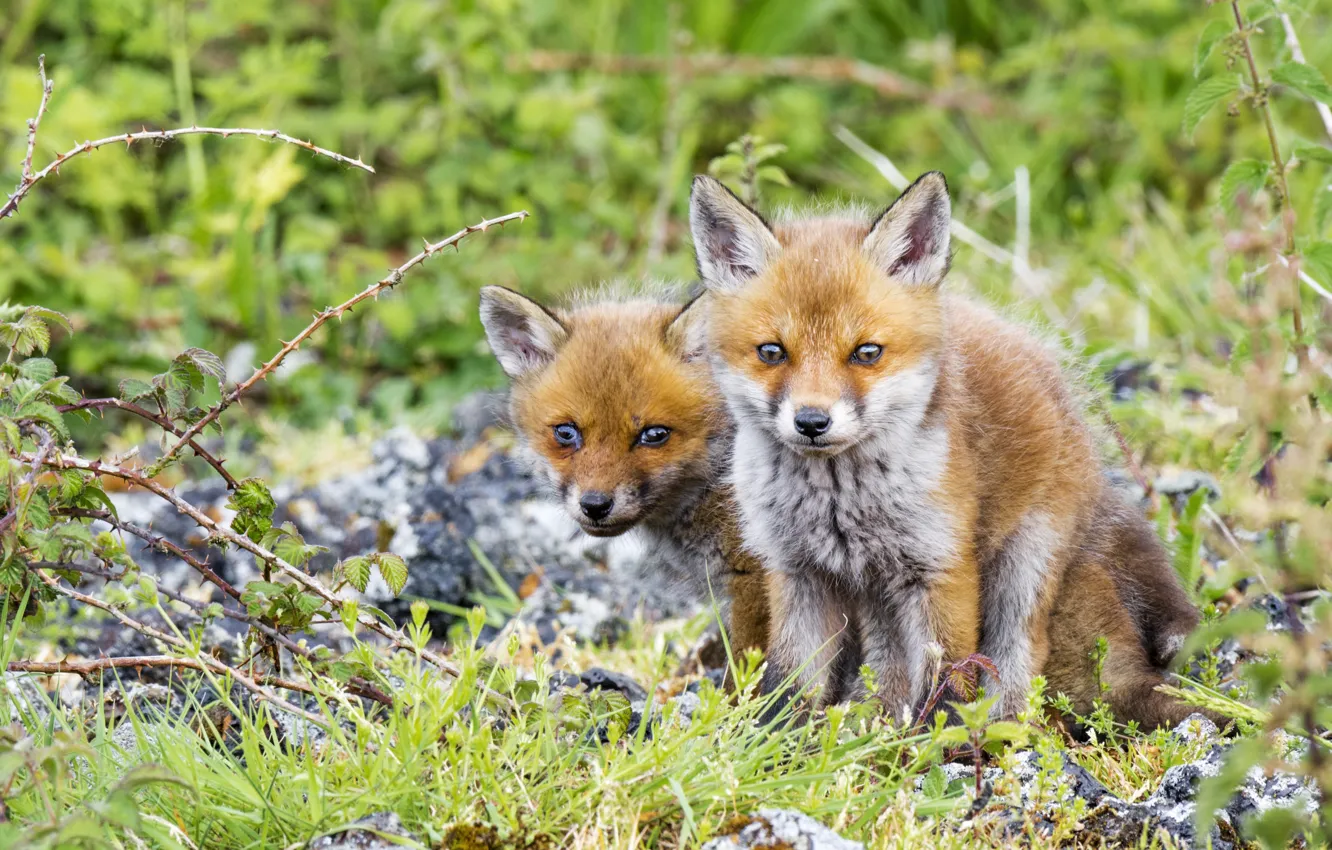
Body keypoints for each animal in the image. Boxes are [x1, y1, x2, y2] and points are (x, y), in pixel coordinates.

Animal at [687, 171, 1207, 722]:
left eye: (866, 352)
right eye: (772, 352)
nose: (811, 422)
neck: (838, 504)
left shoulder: (943, 568)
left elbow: (950, 679)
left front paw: (944, 736)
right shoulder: (797, 572)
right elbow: (791, 682)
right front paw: (778, 739)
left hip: (1022, 567)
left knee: (1020, 655)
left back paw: (1004, 727)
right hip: (880, 594)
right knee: (889, 666)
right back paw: (878, 721)